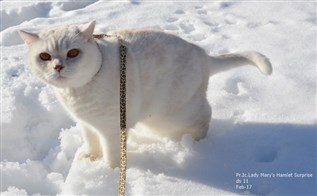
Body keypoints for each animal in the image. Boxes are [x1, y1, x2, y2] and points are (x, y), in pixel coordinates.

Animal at [18, 21, 270, 168]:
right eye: (44, 56)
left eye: (73, 53)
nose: (58, 67)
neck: (77, 92)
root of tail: (203, 53)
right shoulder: (85, 123)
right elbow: (90, 142)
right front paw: (89, 158)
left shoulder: (112, 128)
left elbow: (111, 154)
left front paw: (108, 171)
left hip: (173, 114)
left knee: (206, 115)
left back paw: (198, 143)